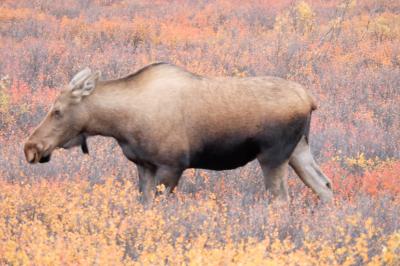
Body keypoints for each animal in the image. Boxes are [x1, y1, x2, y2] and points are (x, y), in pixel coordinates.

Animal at [23, 62, 332, 204]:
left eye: (58, 111)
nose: (31, 147)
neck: (119, 124)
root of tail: (310, 99)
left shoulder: (172, 166)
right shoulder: (145, 165)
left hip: (272, 156)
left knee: (281, 199)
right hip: (299, 150)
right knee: (324, 185)